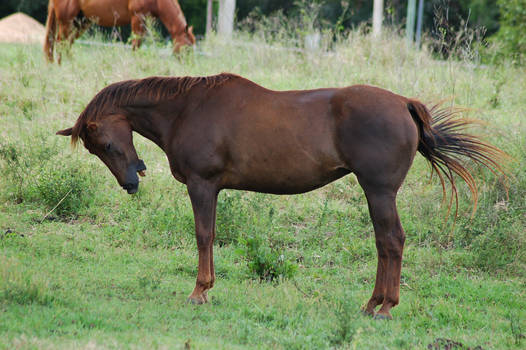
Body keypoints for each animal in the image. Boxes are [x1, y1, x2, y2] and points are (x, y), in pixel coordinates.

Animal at [43, 0, 196, 62]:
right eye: (187, 48)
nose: (188, 64)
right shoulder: (137, 18)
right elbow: (136, 45)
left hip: (81, 22)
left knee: (66, 44)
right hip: (67, 22)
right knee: (60, 43)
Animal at [56, 74, 508, 320]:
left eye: (105, 145)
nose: (131, 181)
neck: (188, 109)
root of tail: (404, 104)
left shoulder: (202, 186)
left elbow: (204, 235)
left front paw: (200, 290)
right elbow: (210, 235)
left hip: (379, 192)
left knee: (391, 241)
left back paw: (384, 306)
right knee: (385, 243)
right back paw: (371, 304)